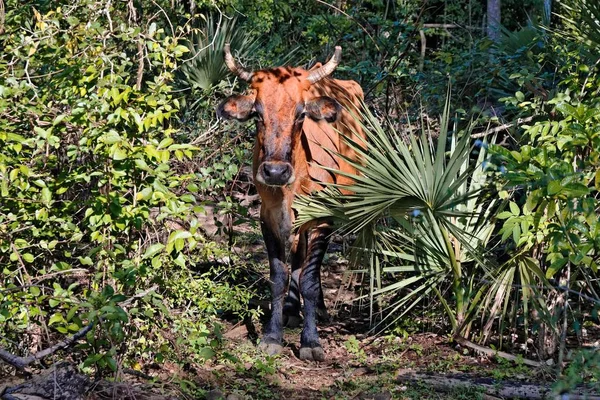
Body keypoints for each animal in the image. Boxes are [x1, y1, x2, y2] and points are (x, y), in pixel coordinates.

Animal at [217, 44, 364, 362]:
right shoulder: (268, 216)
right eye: (257, 114)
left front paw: (311, 341)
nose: (274, 171)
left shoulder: (321, 218)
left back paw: (317, 309)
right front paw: (273, 335)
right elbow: (279, 275)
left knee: (310, 267)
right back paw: (291, 311)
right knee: (297, 261)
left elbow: (308, 279)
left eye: (301, 114)